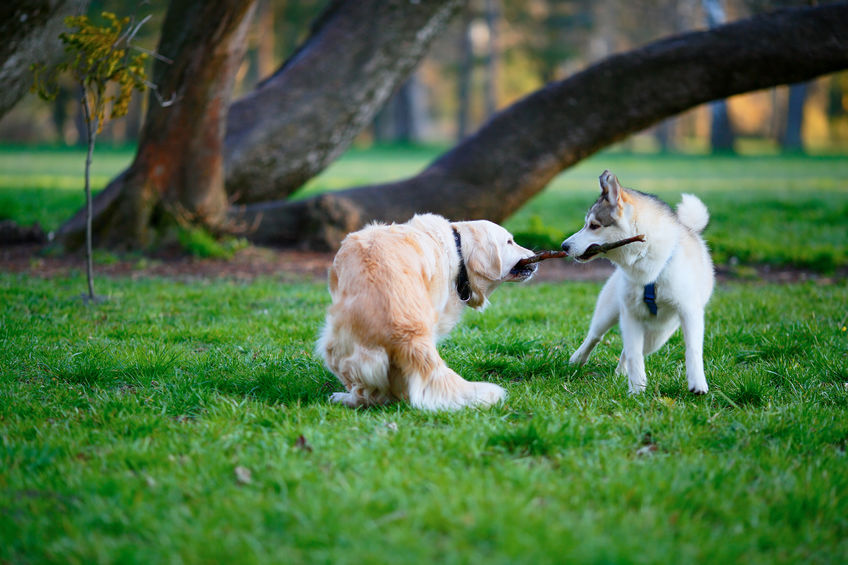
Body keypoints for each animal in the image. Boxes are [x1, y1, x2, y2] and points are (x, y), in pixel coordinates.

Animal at [318, 212, 536, 410]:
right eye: (509, 242)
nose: (535, 257)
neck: (458, 251)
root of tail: (407, 334)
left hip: (332, 346)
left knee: (368, 395)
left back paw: (343, 398)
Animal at [564, 170, 716, 394]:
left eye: (594, 226)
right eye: (586, 224)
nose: (563, 246)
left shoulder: (690, 312)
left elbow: (693, 349)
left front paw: (697, 382)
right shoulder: (630, 314)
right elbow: (634, 354)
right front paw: (636, 389)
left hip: (659, 335)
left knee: (632, 349)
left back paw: (620, 372)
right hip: (609, 312)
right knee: (596, 336)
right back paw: (578, 359)